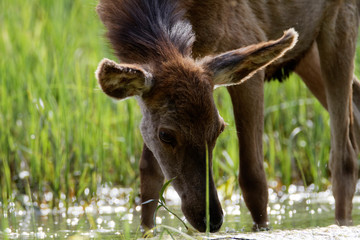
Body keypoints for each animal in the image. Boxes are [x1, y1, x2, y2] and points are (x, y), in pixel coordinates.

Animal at [95, 0, 360, 232]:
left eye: (219, 129)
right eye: (166, 135)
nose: (211, 219)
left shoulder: (246, 39)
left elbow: (254, 178)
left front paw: (262, 228)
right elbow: (149, 176)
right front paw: (146, 230)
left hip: (338, 22)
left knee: (344, 157)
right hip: (305, 51)